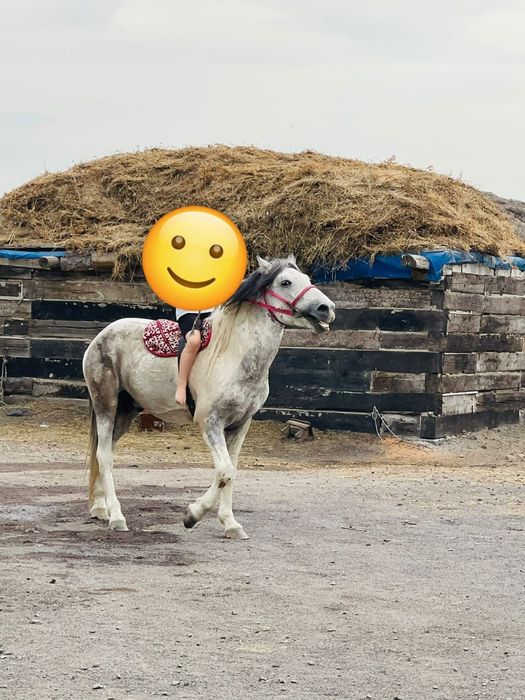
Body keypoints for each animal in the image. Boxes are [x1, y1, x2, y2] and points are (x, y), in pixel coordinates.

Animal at [82, 255, 336, 539]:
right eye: (286, 282)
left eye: (308, 279)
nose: (327, 308)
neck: (234, 355)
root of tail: (101, 337)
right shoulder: (210, 423)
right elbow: (224, 471)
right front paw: (192, 515)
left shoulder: (240, 425)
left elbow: (231, 472)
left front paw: (230, 524)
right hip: (106, 405)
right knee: (104, 455)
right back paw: (116, 516)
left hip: (126, 411)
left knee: (103, 453)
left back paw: (100, 508)